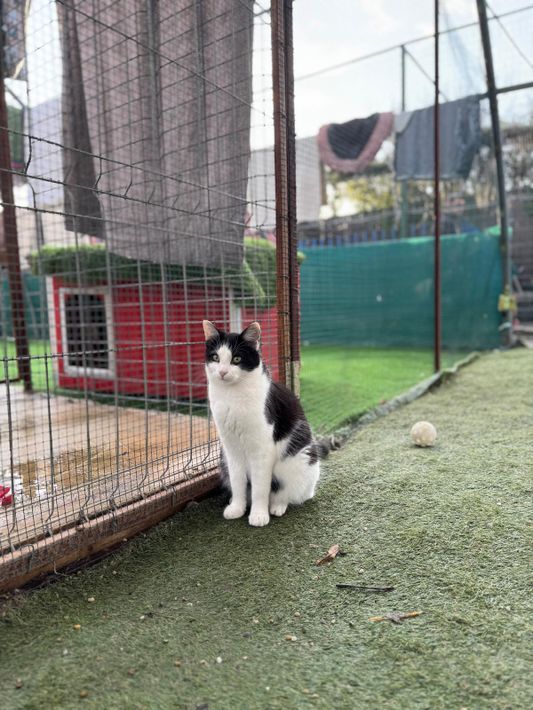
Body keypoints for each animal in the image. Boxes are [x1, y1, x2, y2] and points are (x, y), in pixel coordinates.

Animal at [203, 319, 335, 527]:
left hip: (297, 462)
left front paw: (258, 515)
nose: (223, 372)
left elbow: (260, 488)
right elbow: (238, 482)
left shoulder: (262, 450)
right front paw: (237, 508)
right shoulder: (231, 449)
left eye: (237, 359)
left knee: (291, 493)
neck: (232, 395)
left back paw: (277, 506)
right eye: (215, 357)